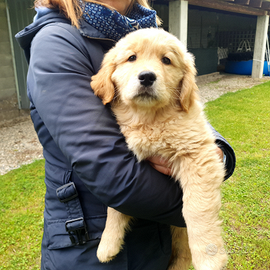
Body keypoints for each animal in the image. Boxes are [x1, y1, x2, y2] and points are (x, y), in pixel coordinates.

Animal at [91, 28, 228, 270]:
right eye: (131, 58)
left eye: (166, 60)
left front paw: (209, 257)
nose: (147, 76)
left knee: (182, 254)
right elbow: (118, 202)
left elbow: (196, 207)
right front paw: (108, 243)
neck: (149, 119)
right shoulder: (130, 169)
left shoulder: (198, 156)